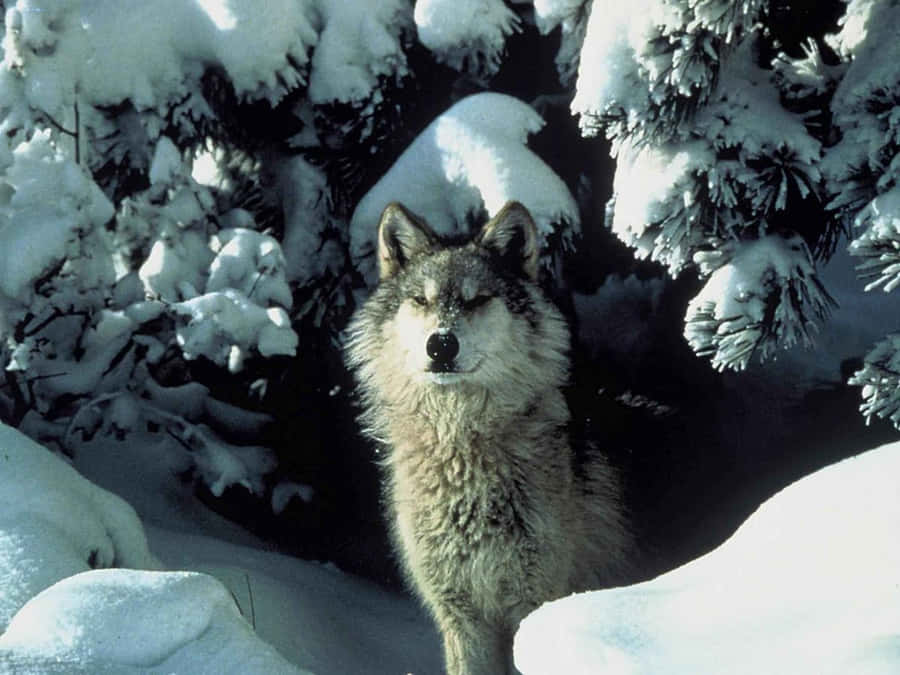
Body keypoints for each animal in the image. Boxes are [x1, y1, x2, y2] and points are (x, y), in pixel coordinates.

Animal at [345, 201, 632, 675]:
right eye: (421, 300)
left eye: (477, 299)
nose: (441, 344)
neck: (461, 450)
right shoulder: (460, 616)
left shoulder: (532, 604)